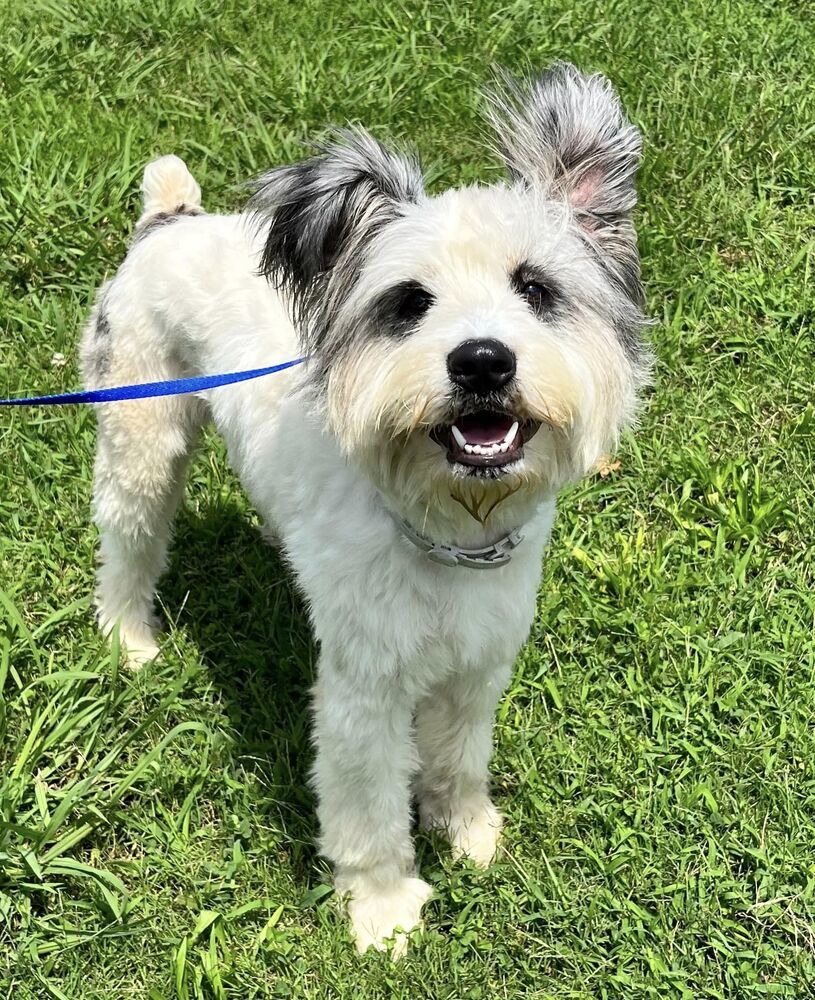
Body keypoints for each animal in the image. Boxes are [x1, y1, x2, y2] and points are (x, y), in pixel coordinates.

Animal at [76, 60, 652, 952]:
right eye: (409, 302)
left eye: (536, 288)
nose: (481, 361)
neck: (448, 529)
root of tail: (172, 218)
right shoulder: (363, 687)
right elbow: (368, 806)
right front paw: (382, 911)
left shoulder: (479, 662)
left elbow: (459, 757)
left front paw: (467, 831)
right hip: (141, 434)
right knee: (128, 542)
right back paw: (129, 639)